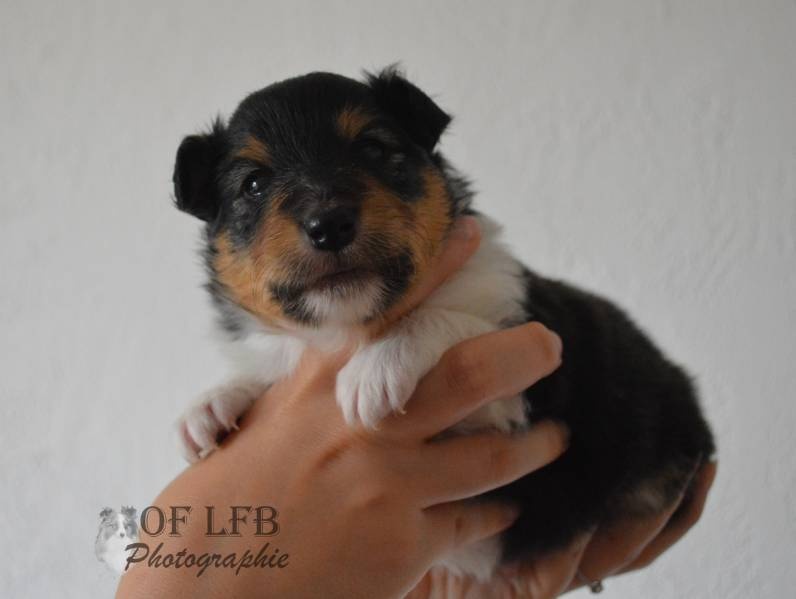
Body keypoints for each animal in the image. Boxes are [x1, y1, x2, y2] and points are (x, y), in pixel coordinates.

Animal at [169, 67, 716, 580]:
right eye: (253, 184)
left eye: (373, 148)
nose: (330, 225)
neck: (349, 326)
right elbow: (271, 363)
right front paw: (211, 404)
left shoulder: (522, 382)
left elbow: (444, 316)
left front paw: (373, 372)